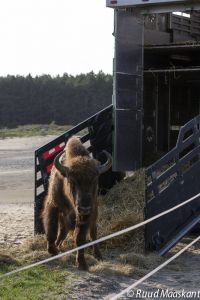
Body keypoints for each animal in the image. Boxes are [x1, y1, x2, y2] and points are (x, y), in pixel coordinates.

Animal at [42, 136, 111, 270]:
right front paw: (53, 250)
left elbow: (80, 238)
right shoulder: (53, 205)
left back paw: (98, 255)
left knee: (93, 233)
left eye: (95, 180)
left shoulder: (85, 216)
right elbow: (51, 230)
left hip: (93, 215)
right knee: (62, 233)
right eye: (72, 181)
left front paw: (82, 264)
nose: (84, 208)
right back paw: (58, 247)